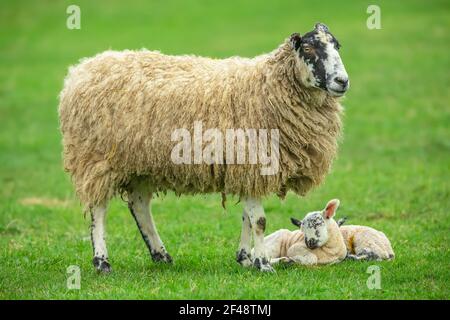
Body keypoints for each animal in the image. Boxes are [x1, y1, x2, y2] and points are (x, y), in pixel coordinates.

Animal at [58, 22, 350, 272]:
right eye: (309, 49)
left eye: (338, 45)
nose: (342, 81)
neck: (269, 86)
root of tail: (81, 69)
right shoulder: (249, 162)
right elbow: (259, 220)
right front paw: (263, 263)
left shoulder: (246, 171)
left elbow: (247, 217)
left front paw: (246, 259)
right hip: (96, 158)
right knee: (98, 209)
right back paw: (102, 261)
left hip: (142, 161)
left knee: (139, 205)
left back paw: (161, 255)